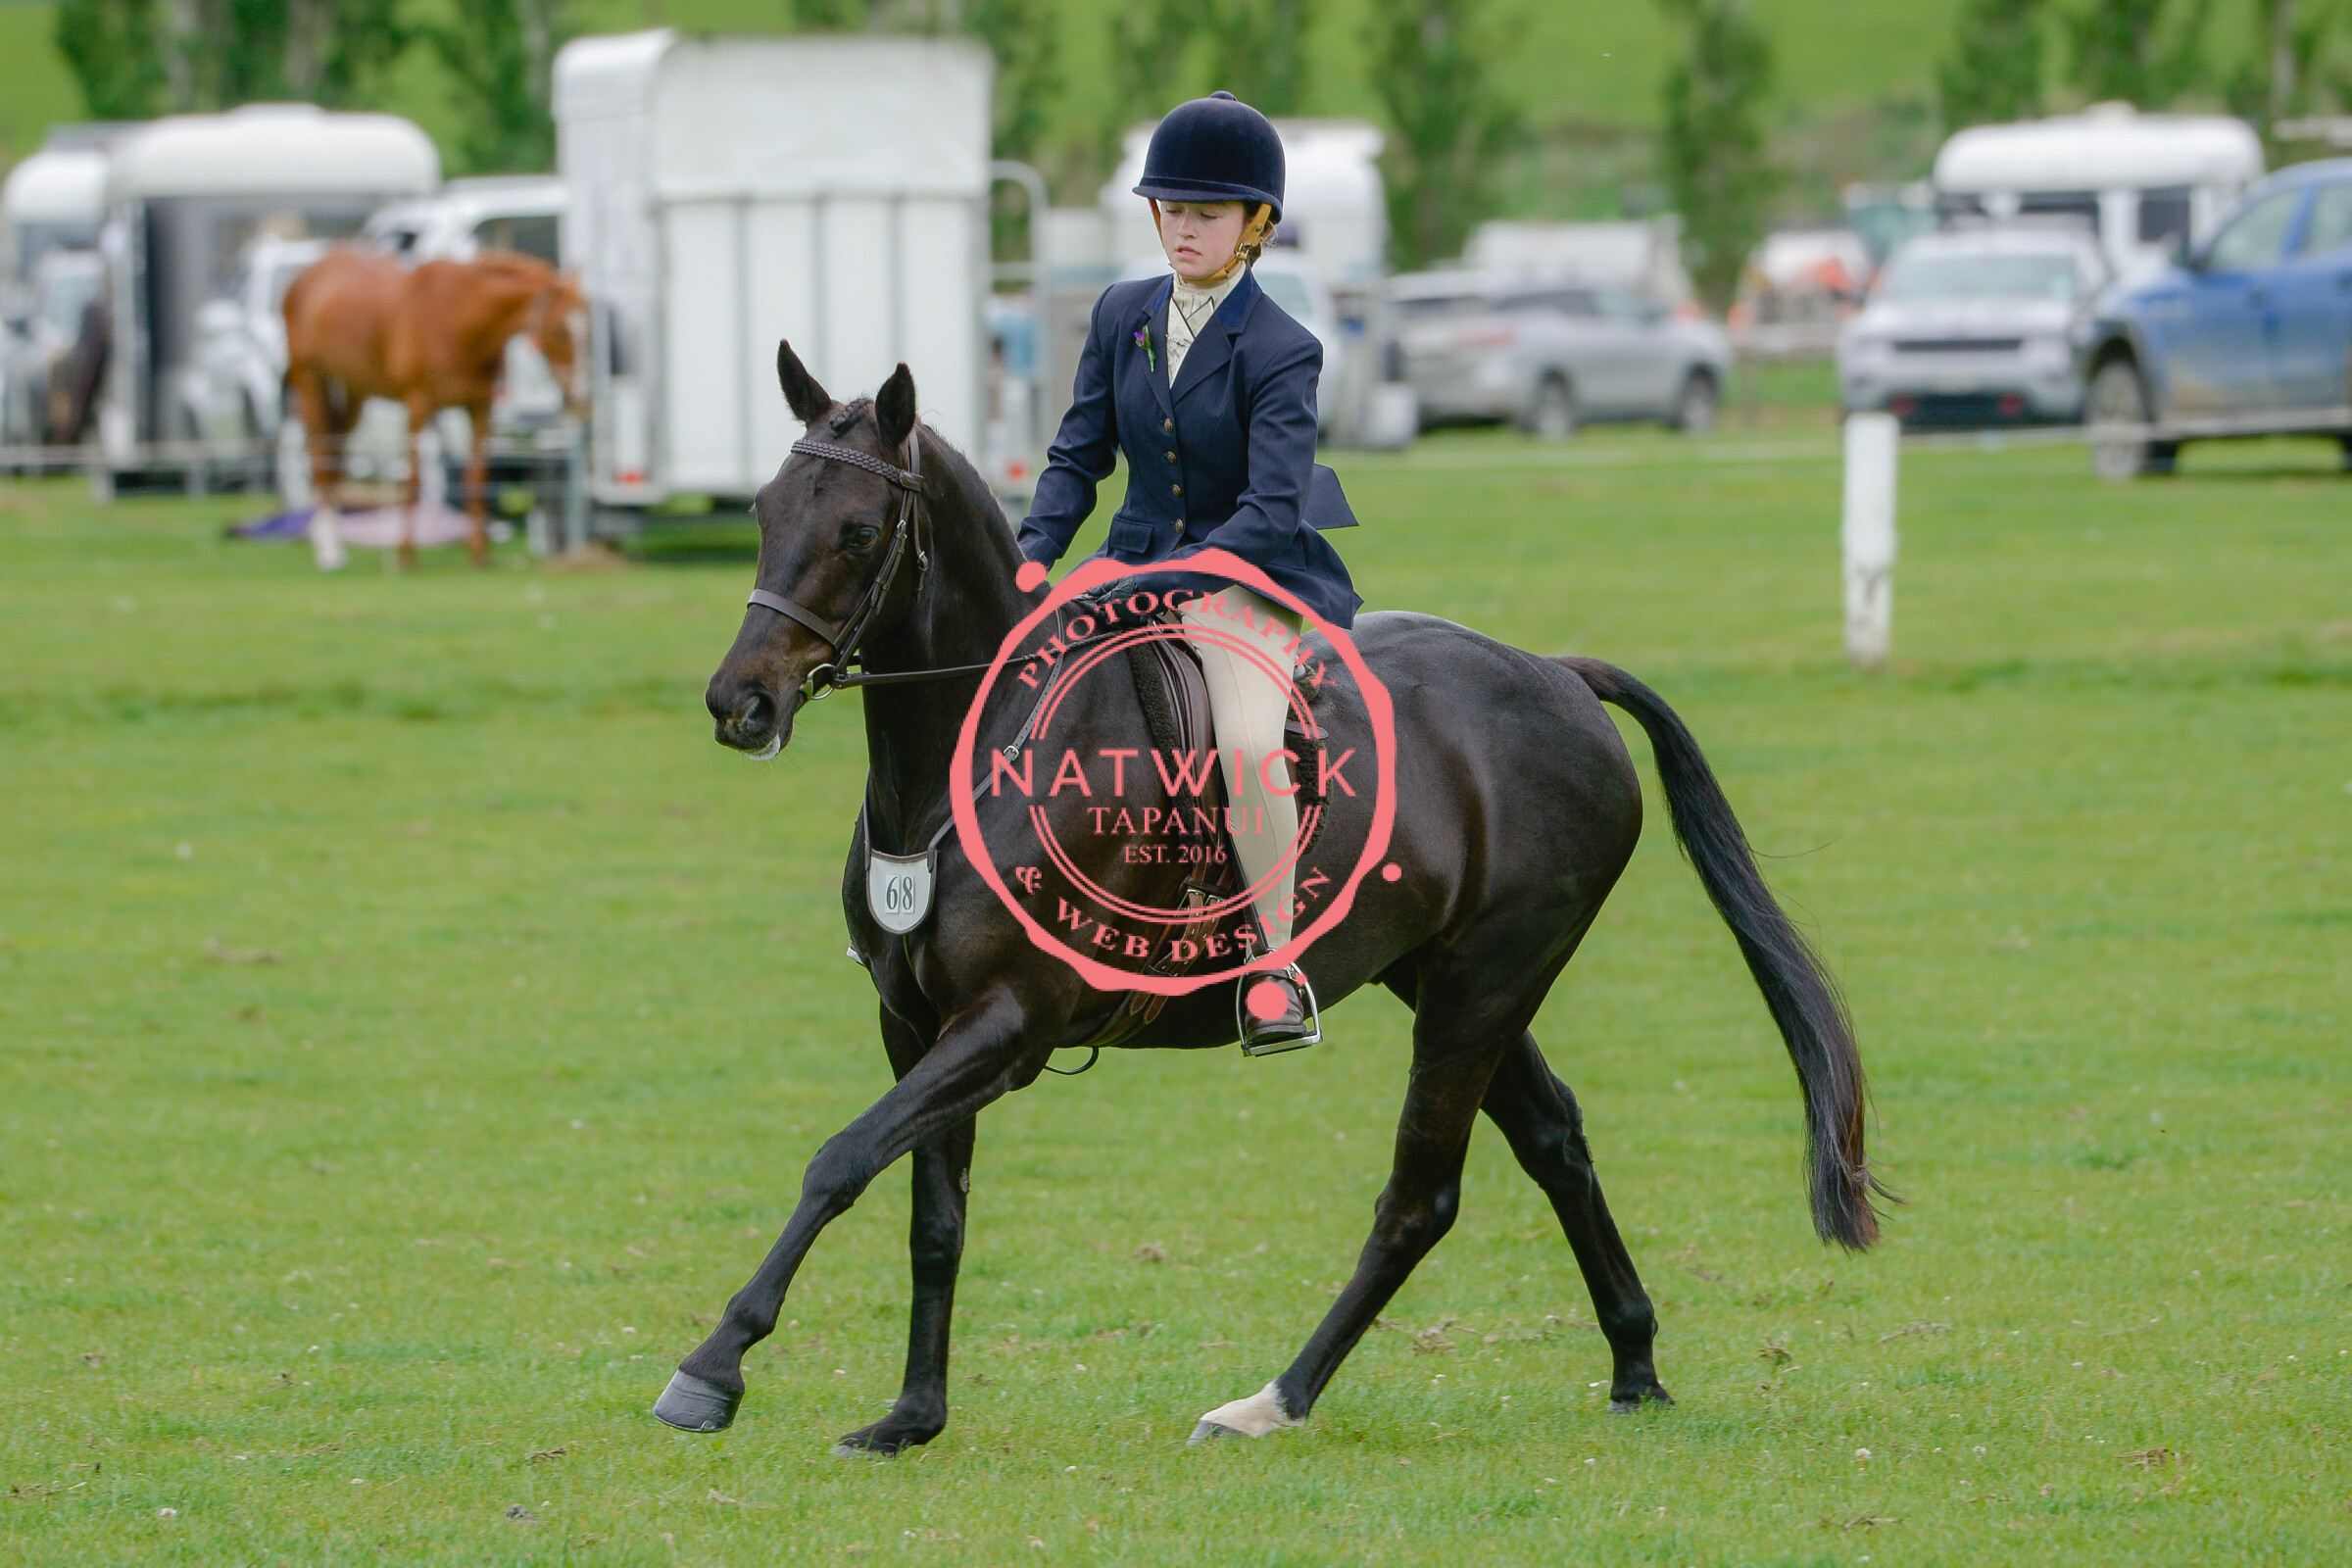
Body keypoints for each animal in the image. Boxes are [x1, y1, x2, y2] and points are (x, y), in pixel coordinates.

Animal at [281, 248, 586, 568]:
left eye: (588, 325)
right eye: (559, 330)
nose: (580, 396)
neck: (461, 321)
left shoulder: (479, 408)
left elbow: (477, 477)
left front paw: (479, 553)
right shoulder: (419, 405)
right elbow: (414, 480)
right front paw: (404, 554)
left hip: (355, 391)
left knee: (335, 458)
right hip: (310, 381)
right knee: (319, 458)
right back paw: (329, 550)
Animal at [665, 340, 1882, 1454]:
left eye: (860, 531)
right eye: (767, 510)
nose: (740, 702)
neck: (965, 766)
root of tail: (1557, 674)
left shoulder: (1008, 1022)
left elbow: (840, 1161)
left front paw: (713, 1368)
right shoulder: (915, 1021)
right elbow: (931, 1213)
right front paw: (911, 1415)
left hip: (1489, 976)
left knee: (1422, 1196)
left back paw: (1272, 1399)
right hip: (1444, 973)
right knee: (1554, 1137)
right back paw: (1633, 1360)